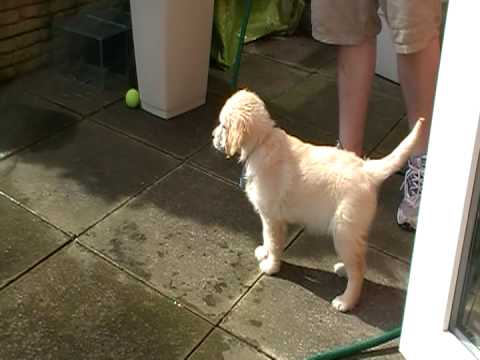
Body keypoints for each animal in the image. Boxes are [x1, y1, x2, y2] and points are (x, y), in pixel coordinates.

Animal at [212, 88, 426, 310]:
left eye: (223, 125)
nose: (212, 137)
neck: (263, 141)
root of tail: (367, 170)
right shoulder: (269, 217)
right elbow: (267, 237)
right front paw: (264, 252)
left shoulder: (272, 217)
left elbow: (273, 241)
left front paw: (271, 266)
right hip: (352, 231)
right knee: (359, 260)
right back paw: (343, 269)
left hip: (344, 230)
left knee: (359, 269)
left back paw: (346, 301)